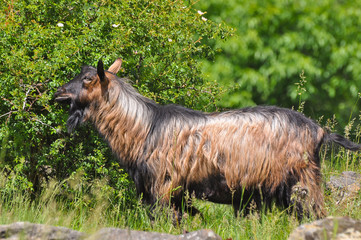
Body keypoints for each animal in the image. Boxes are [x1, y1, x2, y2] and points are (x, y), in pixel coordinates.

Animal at [53, 59, 360, 220]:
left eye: (88, 79)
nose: (58, 93)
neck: (146, 128)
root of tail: (319, 130)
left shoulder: (163, 186)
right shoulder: (175, 193)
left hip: (303, 182)